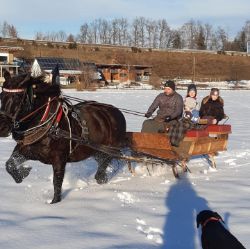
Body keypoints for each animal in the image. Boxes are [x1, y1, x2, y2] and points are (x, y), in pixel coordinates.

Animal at [0, 71, 126, 202]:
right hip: (96, 151)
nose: (2, 128)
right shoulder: (26, 150)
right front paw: (23, 173)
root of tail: (116, 112)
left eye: (18, 97)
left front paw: (55, 203)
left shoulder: (59, 158)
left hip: (109, 149)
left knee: (105, 162)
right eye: (1, 95)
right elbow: (10, 164)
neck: (48, 126)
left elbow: (57, 183)